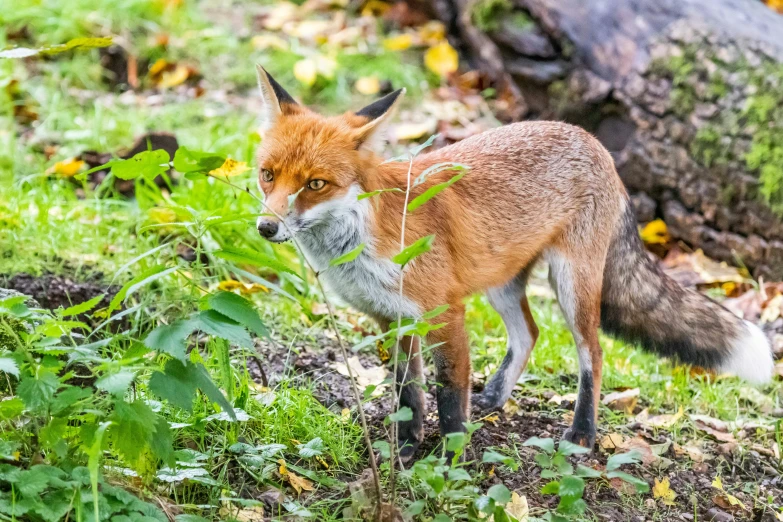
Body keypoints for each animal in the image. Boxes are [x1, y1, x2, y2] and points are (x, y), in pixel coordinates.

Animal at [254, 65, 776, 456]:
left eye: (315, 184)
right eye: (268, 175)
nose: (266, 227)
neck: (368, 235)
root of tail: (595, 143)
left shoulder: (445, 314)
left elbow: (448, 396)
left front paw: (450, 463)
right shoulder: (392, 318)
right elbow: (408, 394)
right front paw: (405, 449)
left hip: (572, 287)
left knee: (593, 354)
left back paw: (582, 434)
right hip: (501, 282)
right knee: (530, 333)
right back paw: (493, 396)